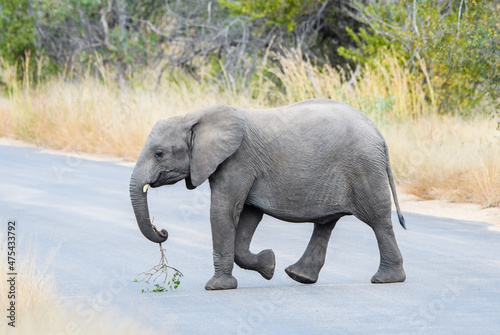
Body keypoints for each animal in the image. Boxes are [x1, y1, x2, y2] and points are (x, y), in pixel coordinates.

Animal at [129, 98, 406, 292]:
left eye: (159, 154)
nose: (163, 232)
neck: (194, 116)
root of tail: (379, 135)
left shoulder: (237, 161)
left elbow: (223, 210)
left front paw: (216, 287)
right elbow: (249, 215)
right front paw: (269, 265)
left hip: (364, 168)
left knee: (378, 219)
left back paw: (386, 280)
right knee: (326, 223)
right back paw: (299, 276)